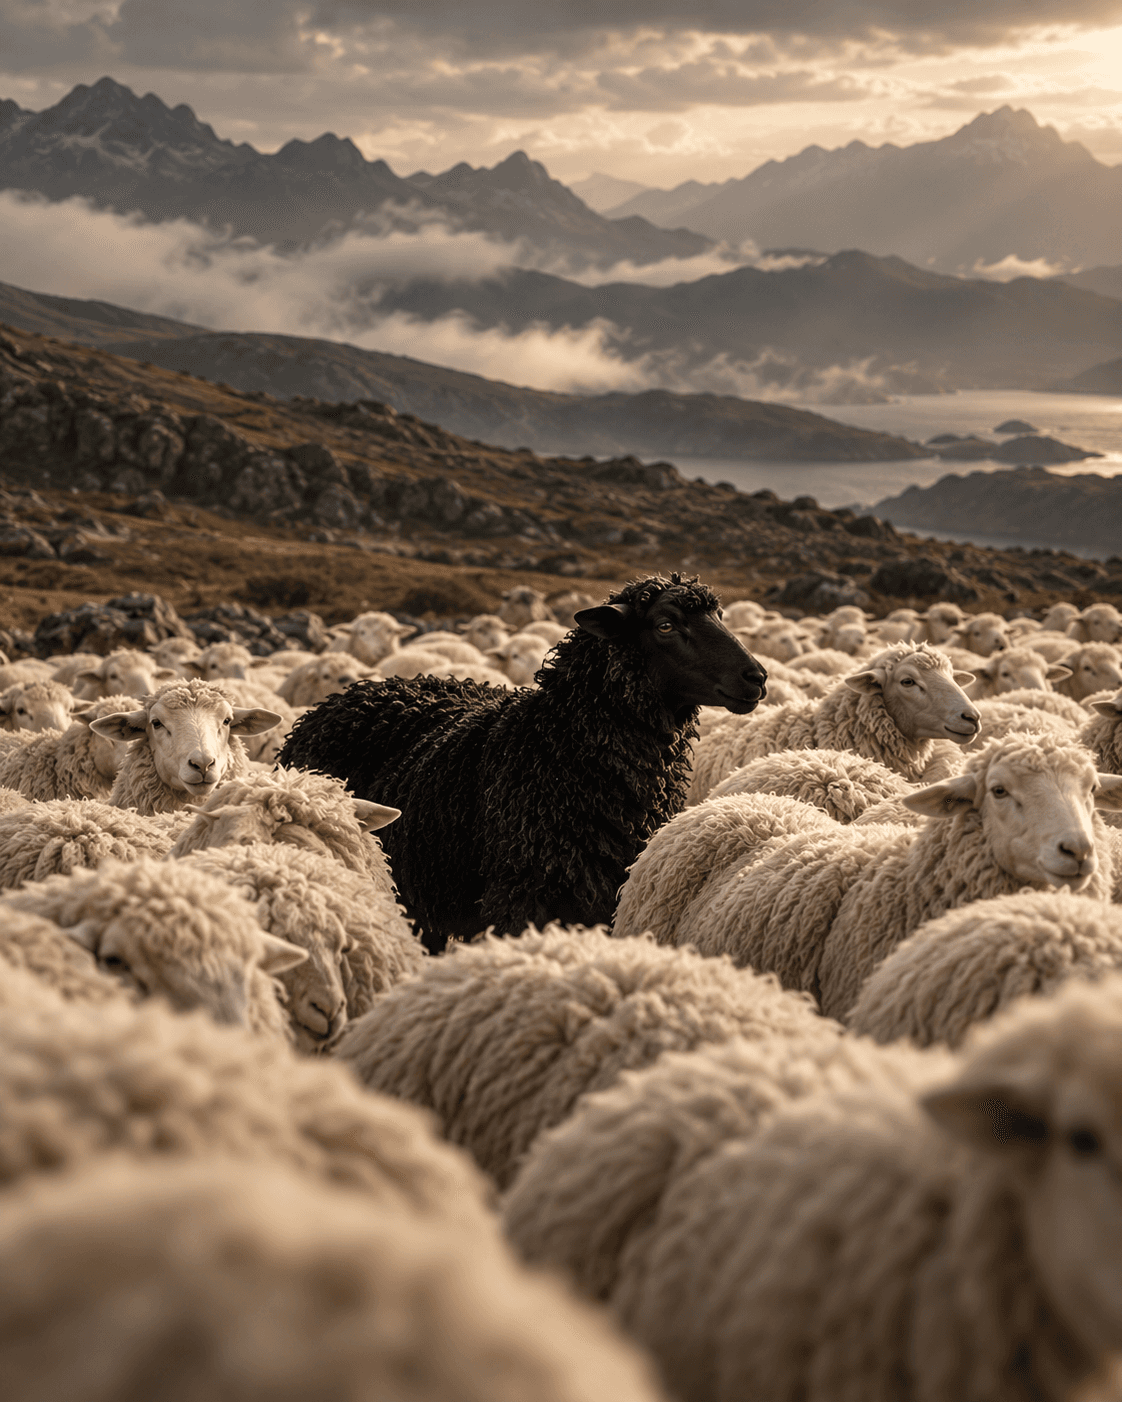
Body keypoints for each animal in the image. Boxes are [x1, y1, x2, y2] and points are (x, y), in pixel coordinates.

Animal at [280, 574, 767, 952]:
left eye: (720, 617)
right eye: (665, 625)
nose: (757, 677)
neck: (554, 744)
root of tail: (347, 696)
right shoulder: (522, 901)